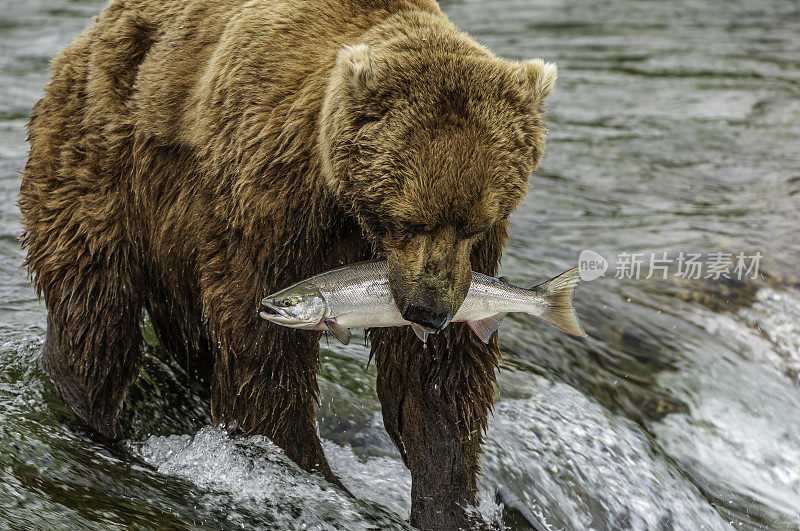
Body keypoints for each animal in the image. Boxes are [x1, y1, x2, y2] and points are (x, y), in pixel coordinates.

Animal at [18, 0, 556, 528]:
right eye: (408, 220)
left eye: (477, 223)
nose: (429, 311)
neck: (343, 199)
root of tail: (85, 38)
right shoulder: (270, 193)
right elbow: (261, 345)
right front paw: (306, 470)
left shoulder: (461, 263)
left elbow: (438, 375)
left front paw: (447, 499)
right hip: (102, 167)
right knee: (96, 316)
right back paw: (93, 418)